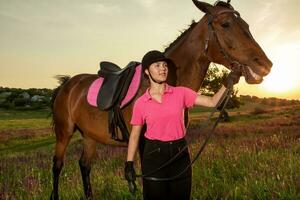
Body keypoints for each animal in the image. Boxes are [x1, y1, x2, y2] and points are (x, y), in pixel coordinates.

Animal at [51, 0, 272, 199]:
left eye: (246, 25)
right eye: (226, 24)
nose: (265, 65)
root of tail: (67, 84)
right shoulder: (143, 144)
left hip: (90, 137)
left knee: (84, 166)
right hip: (64, 134)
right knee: (57, 165)